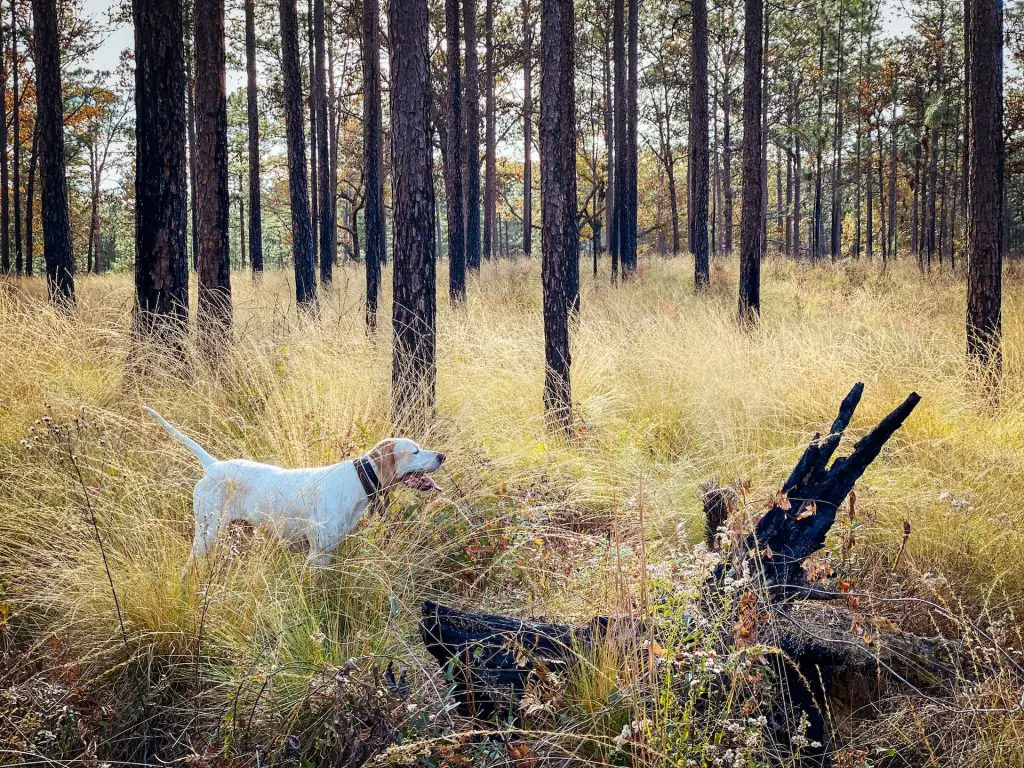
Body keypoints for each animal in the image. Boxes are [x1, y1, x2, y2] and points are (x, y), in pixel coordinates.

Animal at [143, 409, 444, 573]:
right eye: (415, 451)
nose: (442, 455)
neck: (357, 482)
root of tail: (213, 465)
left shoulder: (328, 553)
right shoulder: (317, 553)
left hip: (241, 535)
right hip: (207, 534)